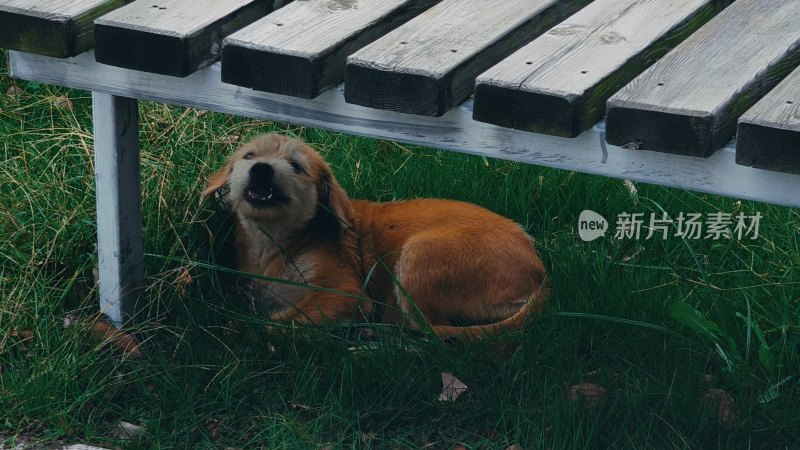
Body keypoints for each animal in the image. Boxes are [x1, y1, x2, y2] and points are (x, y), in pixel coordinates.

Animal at [205, 134, 552, 338]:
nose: (261, 169)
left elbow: (275, 322)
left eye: (296, 166)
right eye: (248, 156)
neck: (275, 246)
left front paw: (242, 329)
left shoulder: (344, 293)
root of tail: (539, 273)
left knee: (430, 335)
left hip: (419, 256)